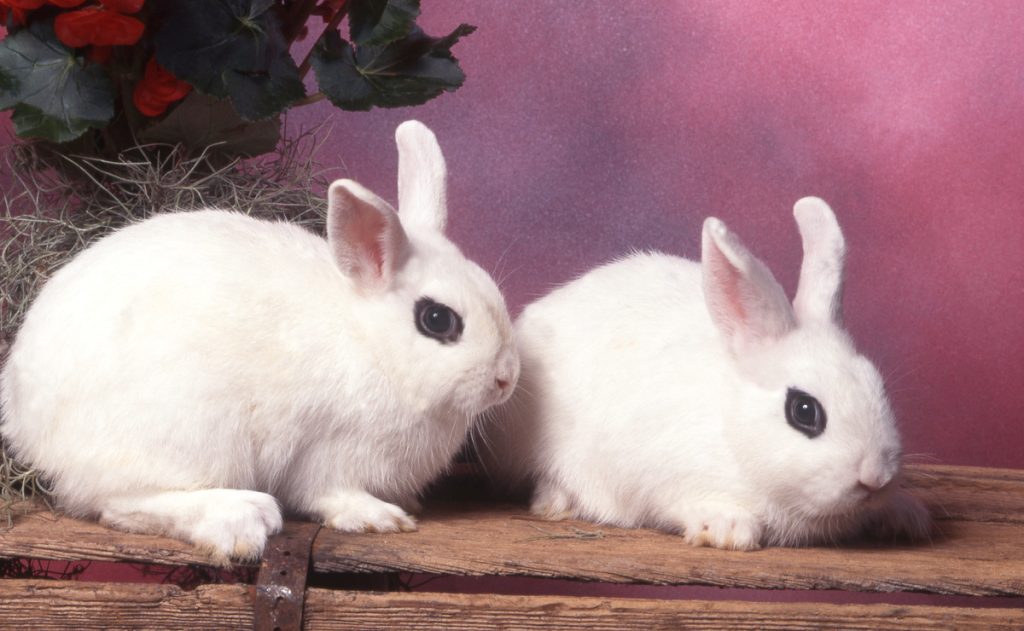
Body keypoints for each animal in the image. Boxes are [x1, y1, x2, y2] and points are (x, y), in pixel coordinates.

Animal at [0, 120, 520, 565]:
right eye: (437, 320)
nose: (506, 380)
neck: (371, 344)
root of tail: (27, 425)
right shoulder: (329, 453)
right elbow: (331, 494)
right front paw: (381, 518)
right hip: (191, 434)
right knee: (118, 503)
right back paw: (244, 517)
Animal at [481, 197, 931, 550]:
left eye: (878, 384)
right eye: (804, 411)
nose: (875, 477)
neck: (734, 429)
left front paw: (907, 516)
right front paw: (728, 527)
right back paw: (558, 501)